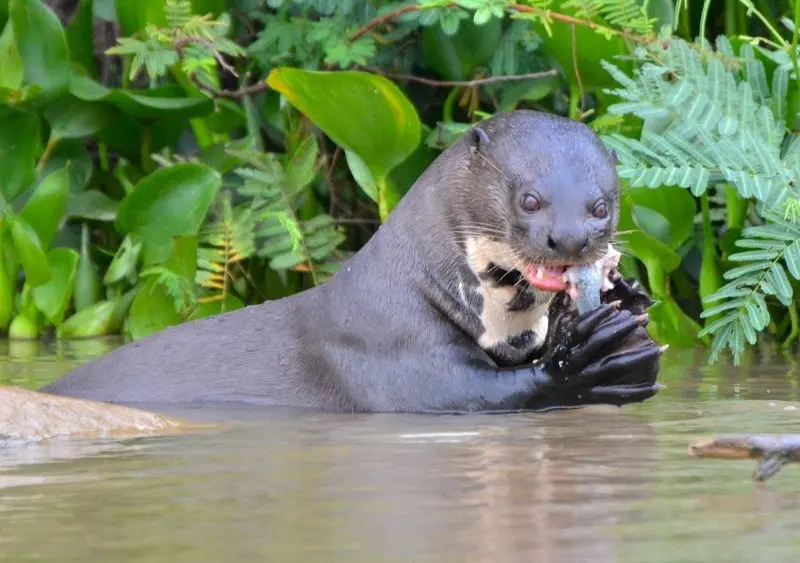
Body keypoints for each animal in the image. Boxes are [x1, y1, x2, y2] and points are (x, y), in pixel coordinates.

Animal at [39, 112, 664, 416]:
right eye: (529, 199)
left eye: (601, 206)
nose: (571, 239)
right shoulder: (390, 345)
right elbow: (471, 393)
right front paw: (583, 362)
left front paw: (626, 298)